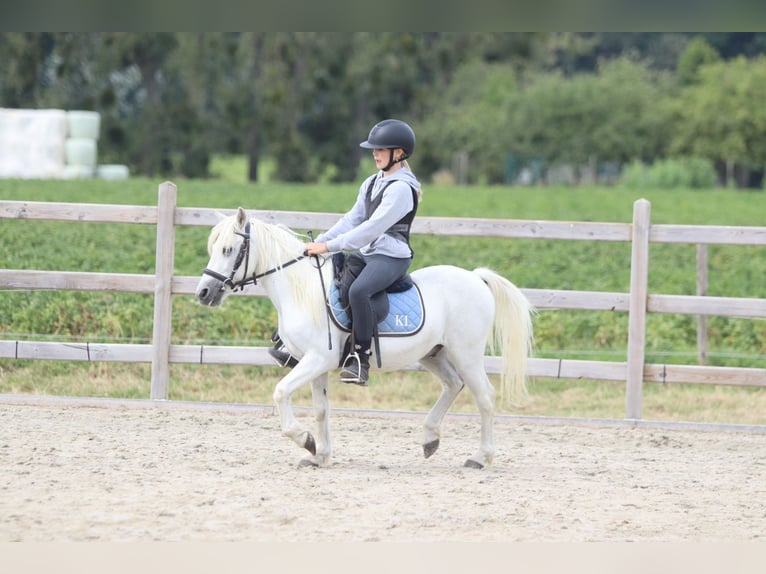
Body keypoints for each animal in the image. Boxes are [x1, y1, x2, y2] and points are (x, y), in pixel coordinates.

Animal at [195, 207, 534, 469]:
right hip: (433, 353)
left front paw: (305, 440)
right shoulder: (316, 364)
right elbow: (321, 409)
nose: (204, 293)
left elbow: (280, 392)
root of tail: (476, 277)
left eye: (228, 250)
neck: (301, 290)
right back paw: (430, 439)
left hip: (467, 354)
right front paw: (320, 456)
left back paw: (480, 457)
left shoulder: (317, 359)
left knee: (484, 397)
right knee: (453, 385)